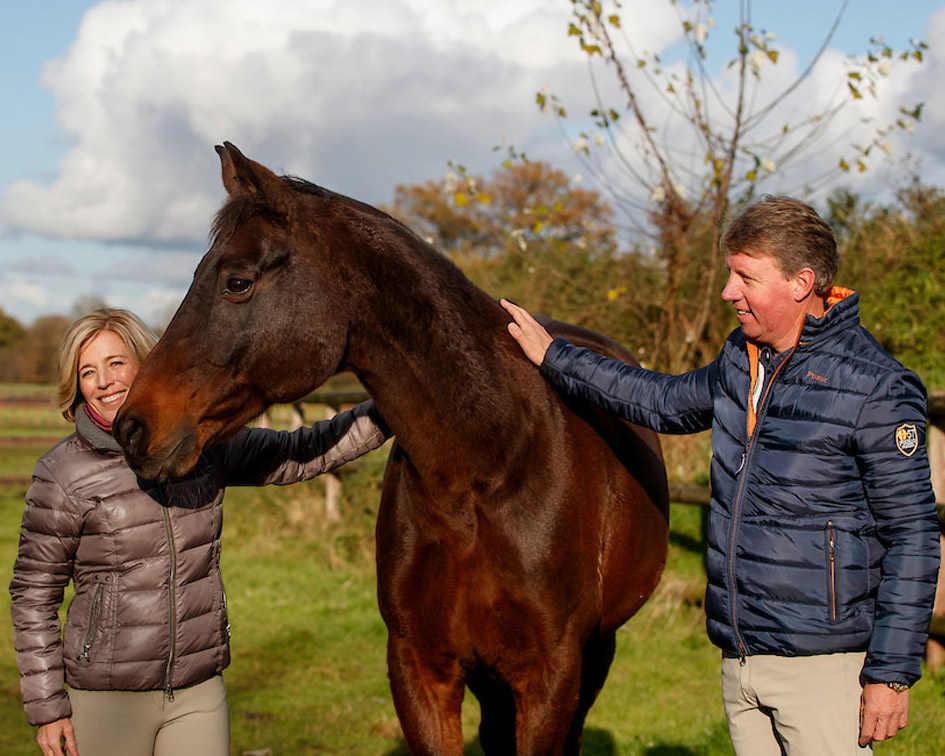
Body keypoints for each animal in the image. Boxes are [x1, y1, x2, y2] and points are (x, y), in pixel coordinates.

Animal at [114, 143, 668, 756]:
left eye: (236, 282)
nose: (133, 427)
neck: (488, 469)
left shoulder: (549, 676)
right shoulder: (419, 666)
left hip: (596, 652)